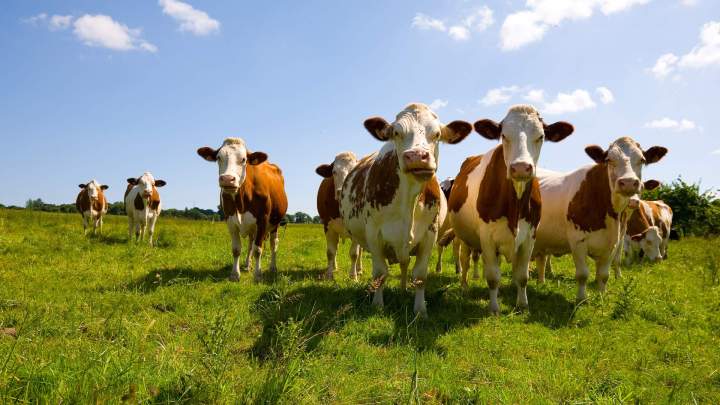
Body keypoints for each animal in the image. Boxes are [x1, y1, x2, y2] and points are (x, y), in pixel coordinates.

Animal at [197, 138, 288, 282]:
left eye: (244, 159)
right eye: (218, 157)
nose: (227, 179)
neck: (241, 202)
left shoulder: (262, 220)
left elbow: (258, 249)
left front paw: (258, 275)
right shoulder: (230, 220)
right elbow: (236, 249)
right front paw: (235, 274)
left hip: (275, 223)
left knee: (273, 243)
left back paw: (273, 267)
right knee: (251, 243)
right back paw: (247, 264)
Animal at [316, 152, 363, 280]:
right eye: (334, 172)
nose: (341, 191)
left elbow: (354, 253)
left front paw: (353, 276)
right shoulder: (328, 226)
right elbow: (330, 252)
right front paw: (329, 275)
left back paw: (359, 269)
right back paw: (334, 267)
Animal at [340, 103, 472, 316]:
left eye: (437, 134)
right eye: (396, 132)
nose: (417, 156)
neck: (408, 199)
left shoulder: (429, 234)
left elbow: (420, 275)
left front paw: (420, 310)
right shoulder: (373, 234)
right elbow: (380, 273)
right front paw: (377, 304)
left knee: (404, 263)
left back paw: (403, 289)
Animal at [448, 105, 574, 314]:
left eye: (541, 136)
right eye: (504, 135)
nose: (521, 167)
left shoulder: (530, 235)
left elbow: (522, 275)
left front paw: (522, 305)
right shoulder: (487, 237)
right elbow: (492, 276)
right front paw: (494, 308)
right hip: (463, 236)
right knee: (465, 260)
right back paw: (464, 287)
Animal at [532, 137, 668, 302]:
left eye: (642, 159)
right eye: (609, 160)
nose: (628, 182)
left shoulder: (613, 243)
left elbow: (604, 275)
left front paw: (602, 297)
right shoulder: (577, 242)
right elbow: (583, 274)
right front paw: (581, 299)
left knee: (541, 259)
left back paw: (541, 282)